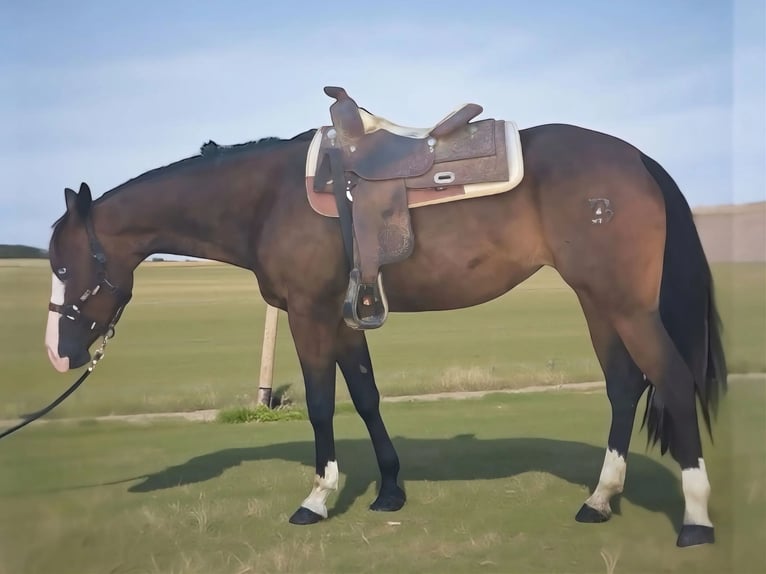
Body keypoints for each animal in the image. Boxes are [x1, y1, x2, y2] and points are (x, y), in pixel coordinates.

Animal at [44, 97, 726, 548]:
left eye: (63, 264)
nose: (58, 354)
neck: (268, 197)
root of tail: (636, 158)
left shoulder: (309, 313)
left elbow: (322, 403)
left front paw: (317, 499)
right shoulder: (345, 317)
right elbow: (366, 396)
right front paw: (389, 489)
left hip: (624, 303)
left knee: (669, 379)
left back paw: (695, 519)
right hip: (598, 300)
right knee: (624, 386)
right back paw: (600, 499)